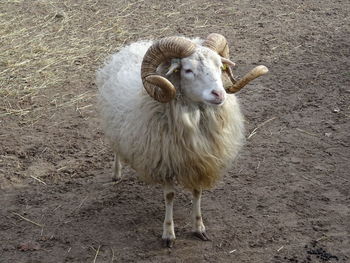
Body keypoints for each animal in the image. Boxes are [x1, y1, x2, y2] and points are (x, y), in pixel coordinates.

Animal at [96, 34, 268, 249]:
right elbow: (169, 196)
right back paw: (116, 173)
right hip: (114, 123)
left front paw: (199, 227)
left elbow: (197, 192)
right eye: (187, 70)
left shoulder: (199, 161)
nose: (219, 94)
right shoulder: (166, 162)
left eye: (220, 66)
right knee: (116, 148)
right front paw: (168, 234)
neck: (193, 118)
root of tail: (134, 45)